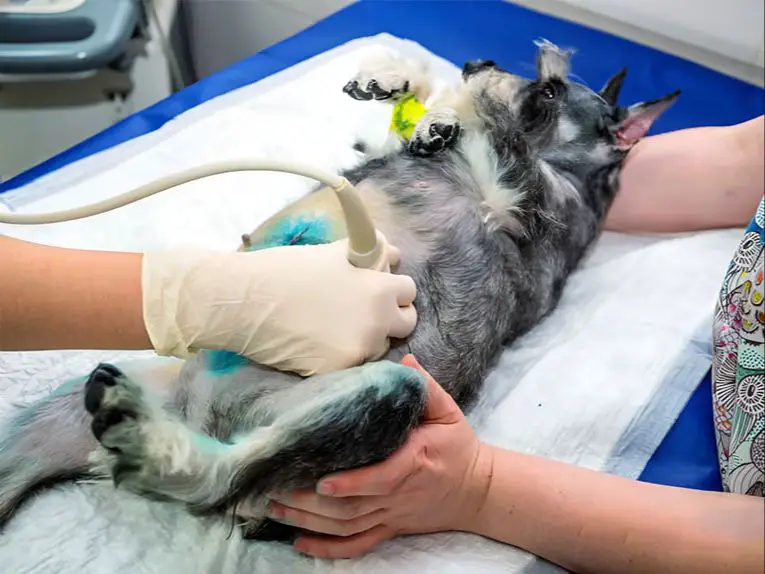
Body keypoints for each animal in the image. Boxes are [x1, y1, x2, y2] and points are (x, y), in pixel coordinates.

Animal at [1, 40, 680, 544]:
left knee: (225, 476)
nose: (477, 60)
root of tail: (198, 416)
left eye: (552, 94)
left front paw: (466, 97)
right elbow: (410, 129)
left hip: (386, 394)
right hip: (43, 425)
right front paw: (406, 86)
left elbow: (497, 131)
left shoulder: (525, 202)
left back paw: (158, 451)